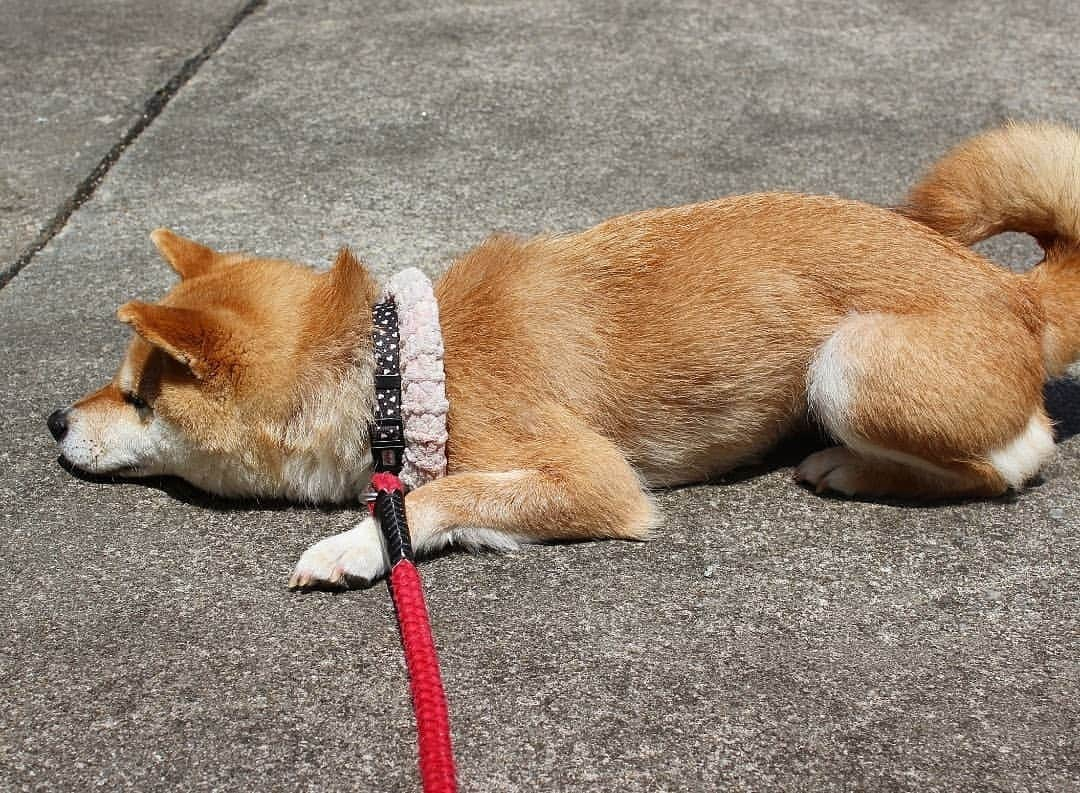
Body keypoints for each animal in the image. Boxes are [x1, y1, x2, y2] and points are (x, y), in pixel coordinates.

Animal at [48, 124, 1080, 592]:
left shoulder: (595, 478)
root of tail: (1012, 291)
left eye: (139, 396)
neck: (395, 371)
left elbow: (437, 495)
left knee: (1018, 456)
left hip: (849, 363)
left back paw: (853, 466)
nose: (54, 417)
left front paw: (353, 543)